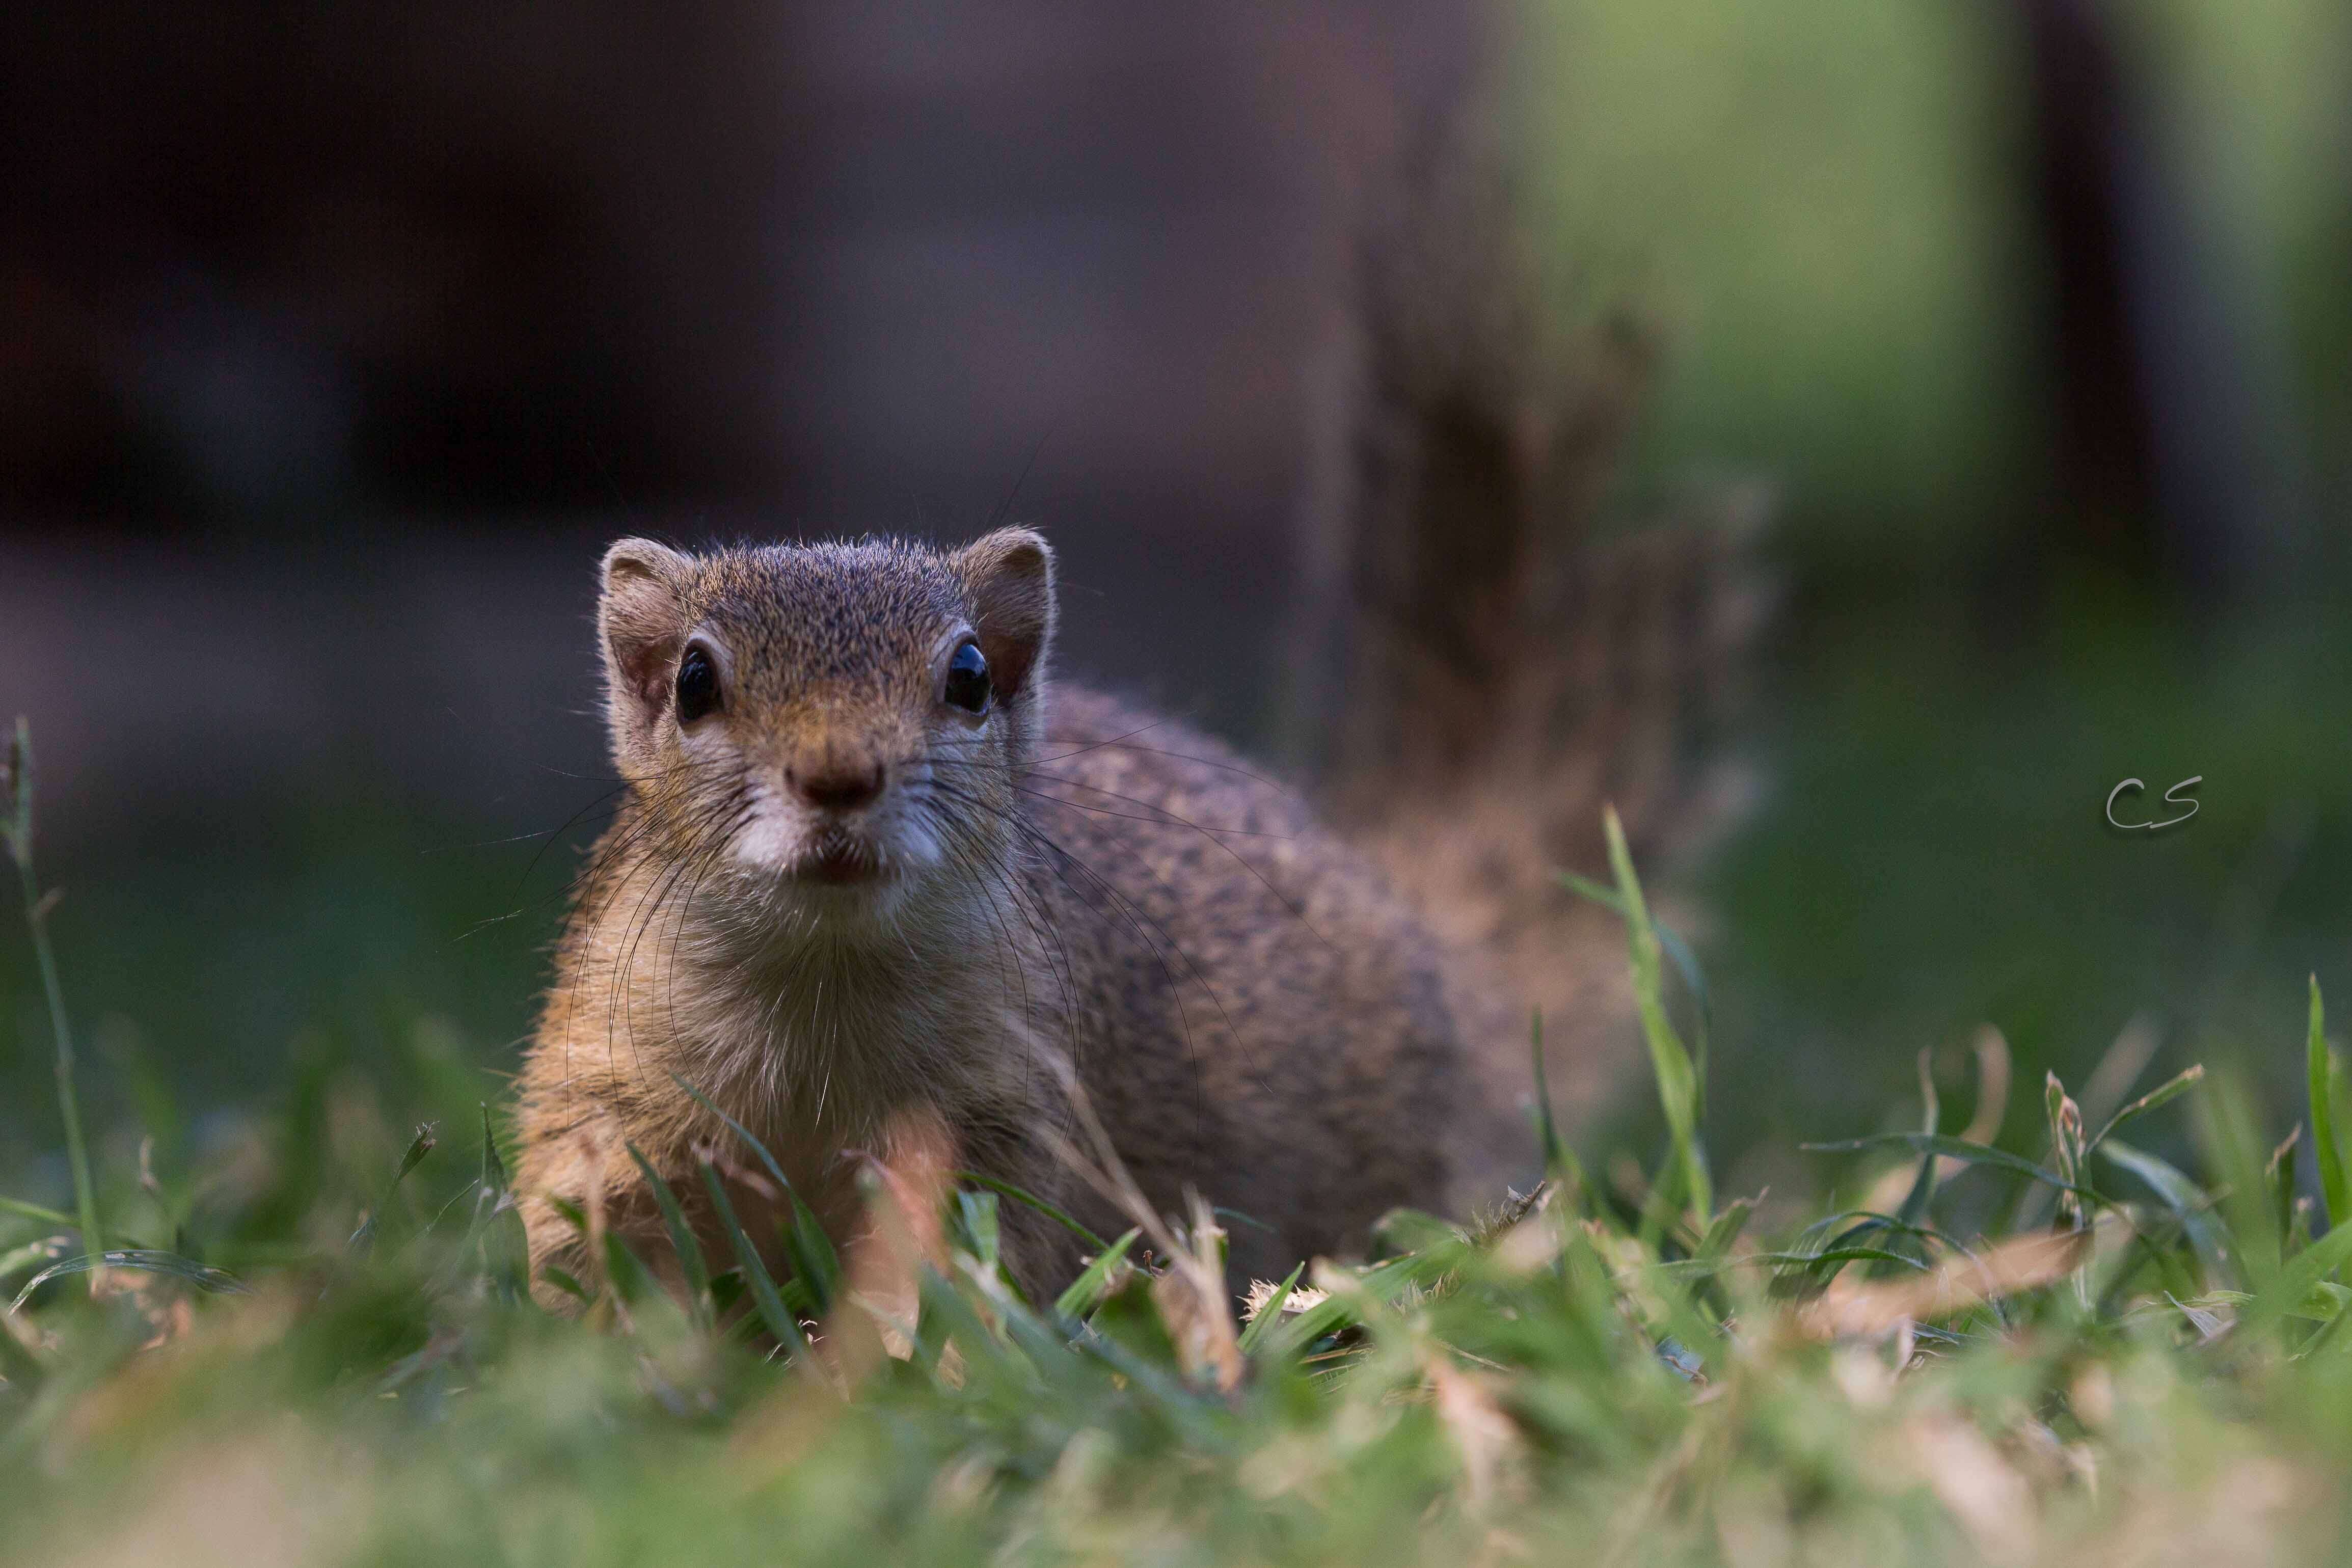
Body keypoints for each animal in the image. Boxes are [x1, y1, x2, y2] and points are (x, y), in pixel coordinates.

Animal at [522, 533, 1477, 1307]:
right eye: (693, 682)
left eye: (970, 677)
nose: (837, 775)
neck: (823, 975)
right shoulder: (605, 1095)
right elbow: (586, 1245)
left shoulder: (1001, 1120)